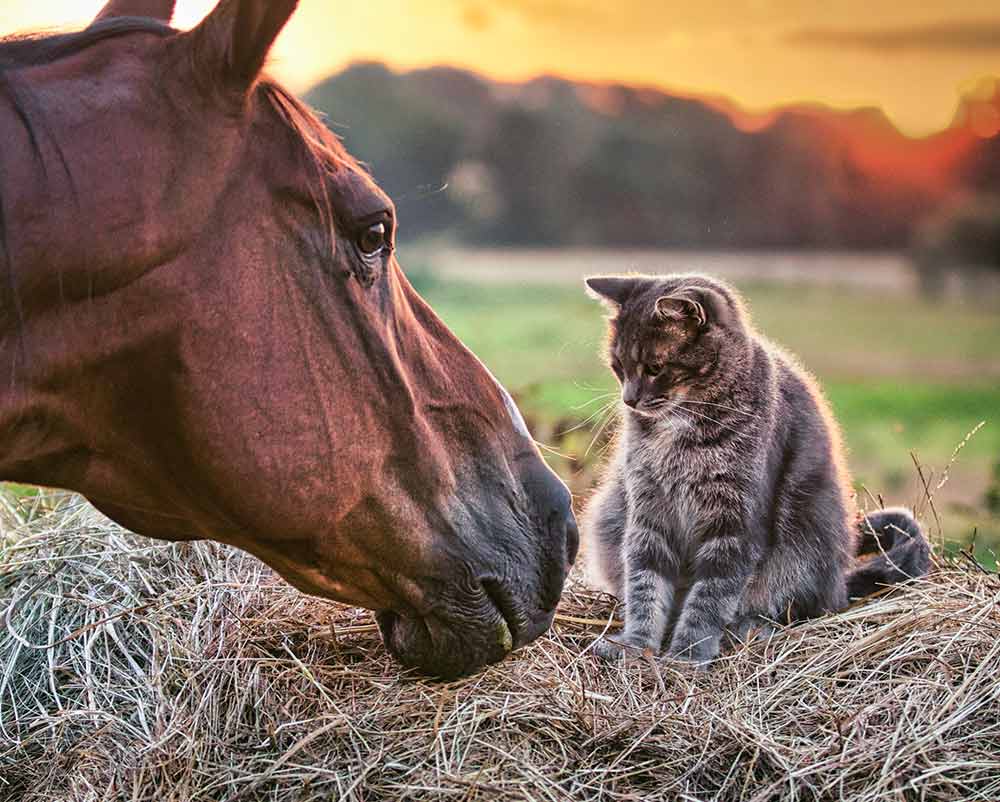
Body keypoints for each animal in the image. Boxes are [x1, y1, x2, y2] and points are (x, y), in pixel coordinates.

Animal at [580, 274, 928, 664]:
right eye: (618, 367)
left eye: (654, 368)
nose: (629, 399)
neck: (680, 429)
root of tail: (840, 585)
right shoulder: (648, 512)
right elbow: (645, 584)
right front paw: (635, 644)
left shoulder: (735, 524)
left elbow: (710, 595)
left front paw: (688, 654)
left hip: (805, 544)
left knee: (795, 605)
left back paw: (752, 626)